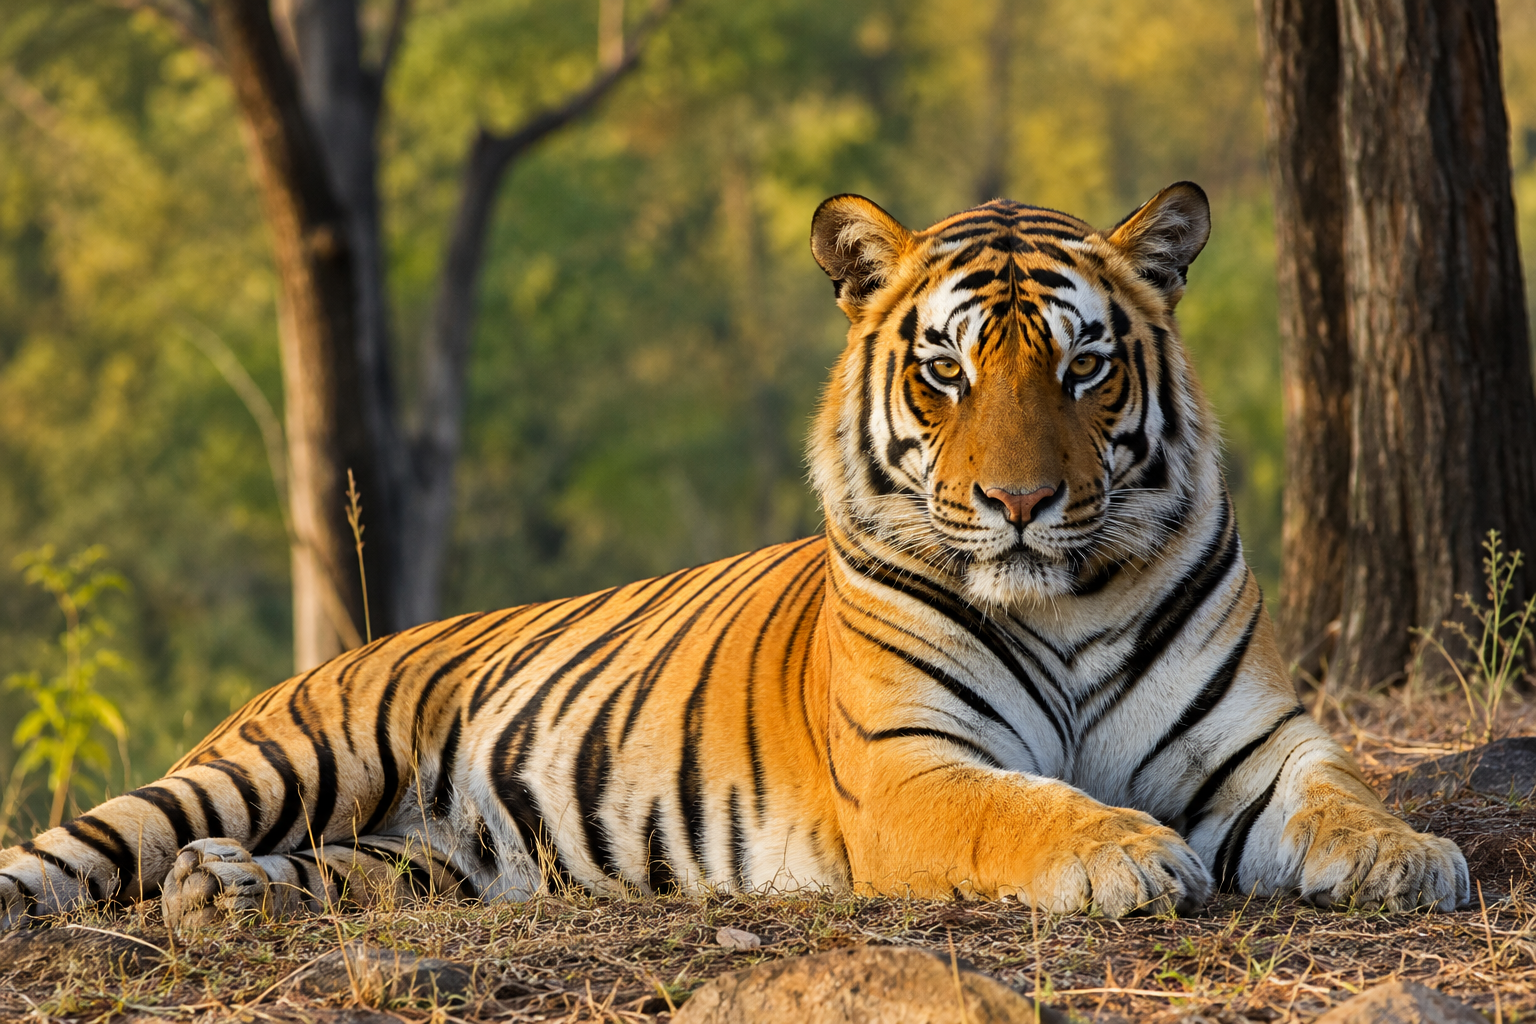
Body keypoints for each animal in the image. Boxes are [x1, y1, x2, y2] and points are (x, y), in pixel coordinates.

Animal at [0, 182, 1468, 929]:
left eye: (1083, 367)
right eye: (947, 371)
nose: (1020, 502)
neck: (1058, 601)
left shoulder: (1253, 745)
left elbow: (1343, 791)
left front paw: (1411, 856)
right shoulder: (910, 769)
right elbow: (1026, 806)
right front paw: (1130, 853)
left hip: (426, 857)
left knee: (308, 875)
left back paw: (226, 895)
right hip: (282, 761)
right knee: (84, 846)